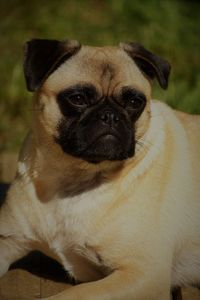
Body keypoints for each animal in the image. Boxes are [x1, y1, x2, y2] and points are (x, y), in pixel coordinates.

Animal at [0, 39, 200, 300]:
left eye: (134, 102)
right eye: (77, 98)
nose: (110, 116)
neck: (74, 179)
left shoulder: (143, 275)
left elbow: (72, 295)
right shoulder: (7, 240)